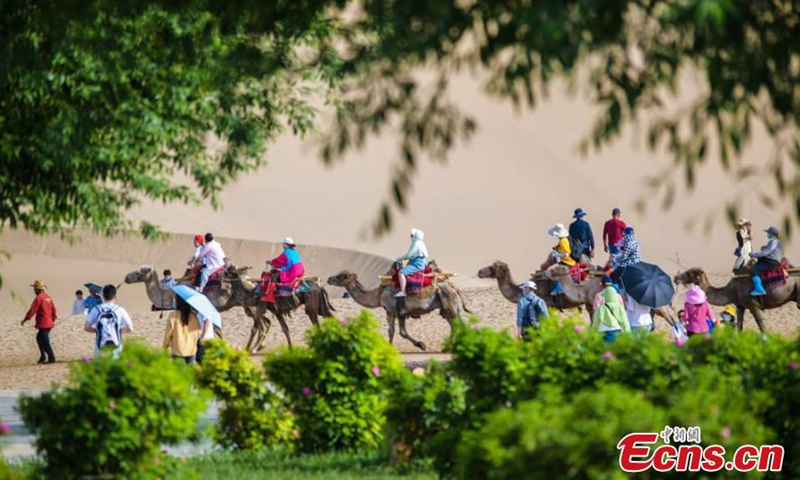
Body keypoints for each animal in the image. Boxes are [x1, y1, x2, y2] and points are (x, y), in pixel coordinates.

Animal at [328, 268, 472, 350]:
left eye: (341, 276)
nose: (329, 278)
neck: (378, 295)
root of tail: (453, 286)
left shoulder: (394, 311)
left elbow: (400, 332)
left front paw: (421, 345)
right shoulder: (394, 312)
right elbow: (392, 331)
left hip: (450, 304)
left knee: (459, 324)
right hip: (447, 308)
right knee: (455, 324)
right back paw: (448, 347)